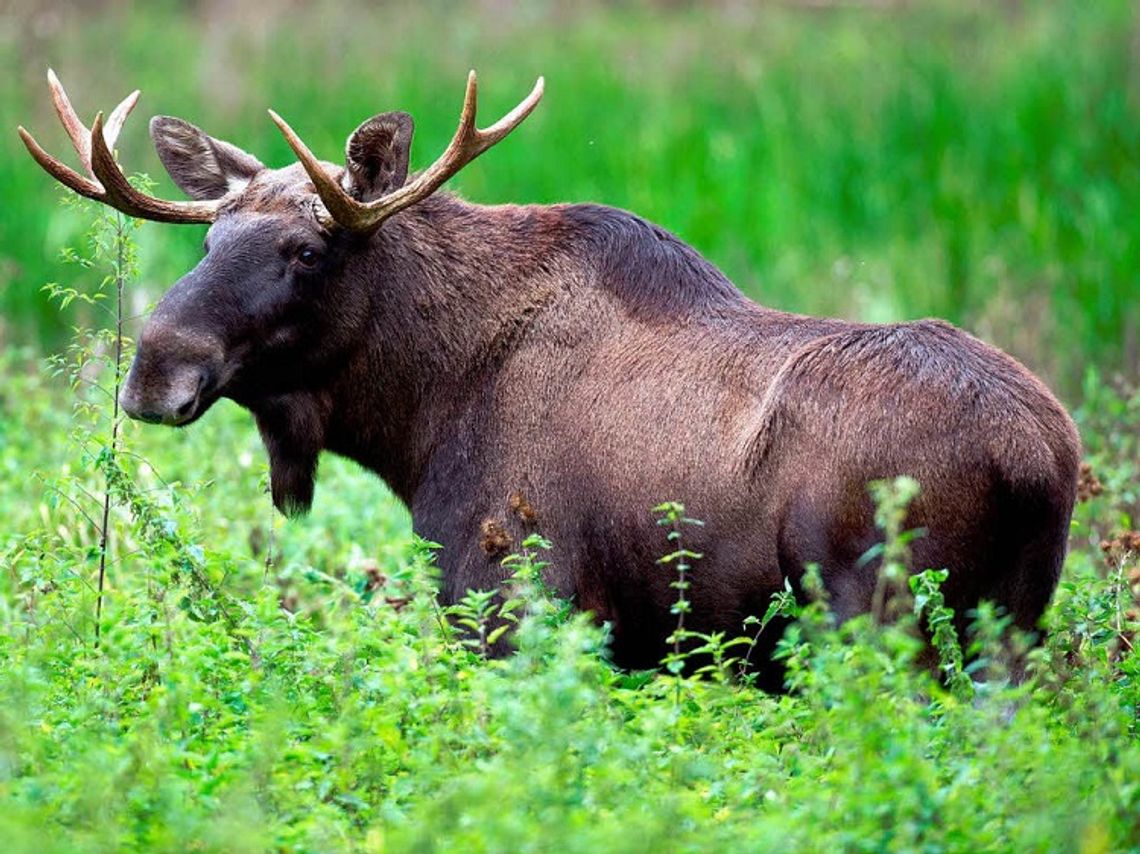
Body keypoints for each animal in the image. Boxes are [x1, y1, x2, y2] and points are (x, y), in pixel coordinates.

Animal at [22, 71, 1080, 679]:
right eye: (210, 238)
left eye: (307, 250)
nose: (154, 369)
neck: (417, 416)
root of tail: (1041, 462)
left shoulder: (513, 605)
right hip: (1011, 632)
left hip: (873, 616)